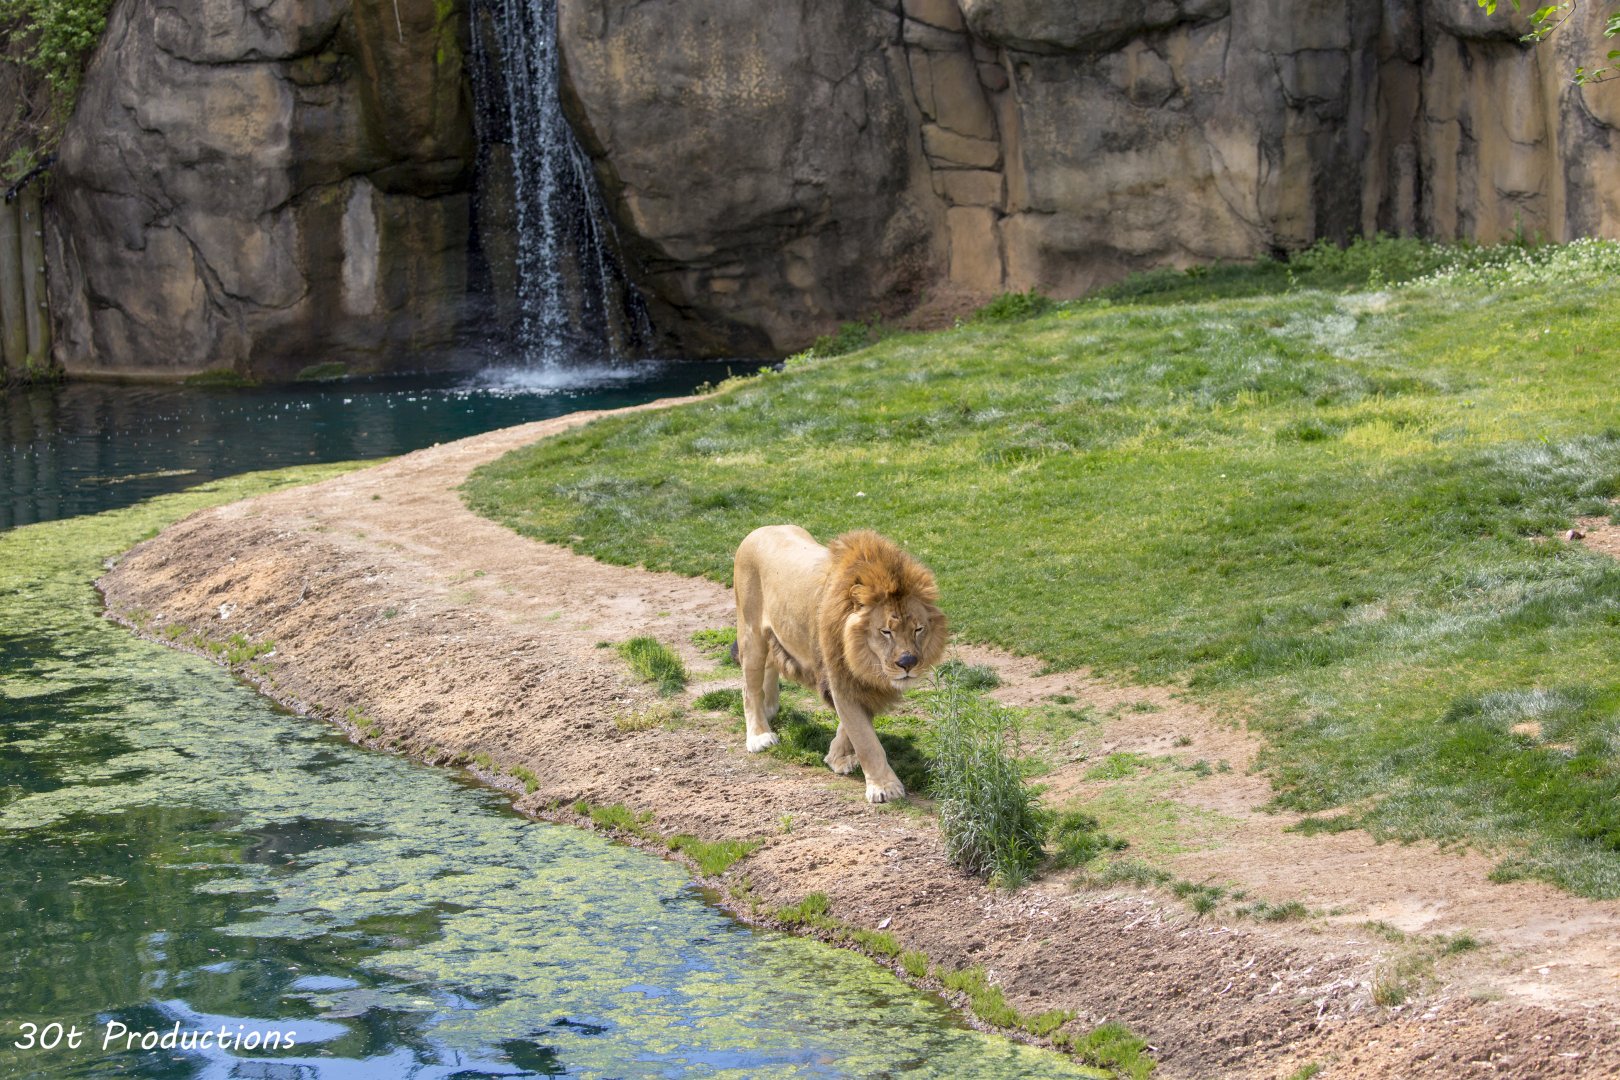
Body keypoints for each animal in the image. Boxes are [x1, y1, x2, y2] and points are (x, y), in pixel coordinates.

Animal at [732, 525, 947, 803]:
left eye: (918, 629)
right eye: (886, 632)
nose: (908, 662)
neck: (865, 660)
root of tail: (760, 529)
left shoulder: (865, 684)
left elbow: (851, 726)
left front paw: (836, 757)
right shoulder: (841, 678)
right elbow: (865, 740)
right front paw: (884, 787)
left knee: (770, 666)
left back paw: (770, 708)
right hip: (750, 632)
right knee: (749, 688)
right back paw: (759, 735)